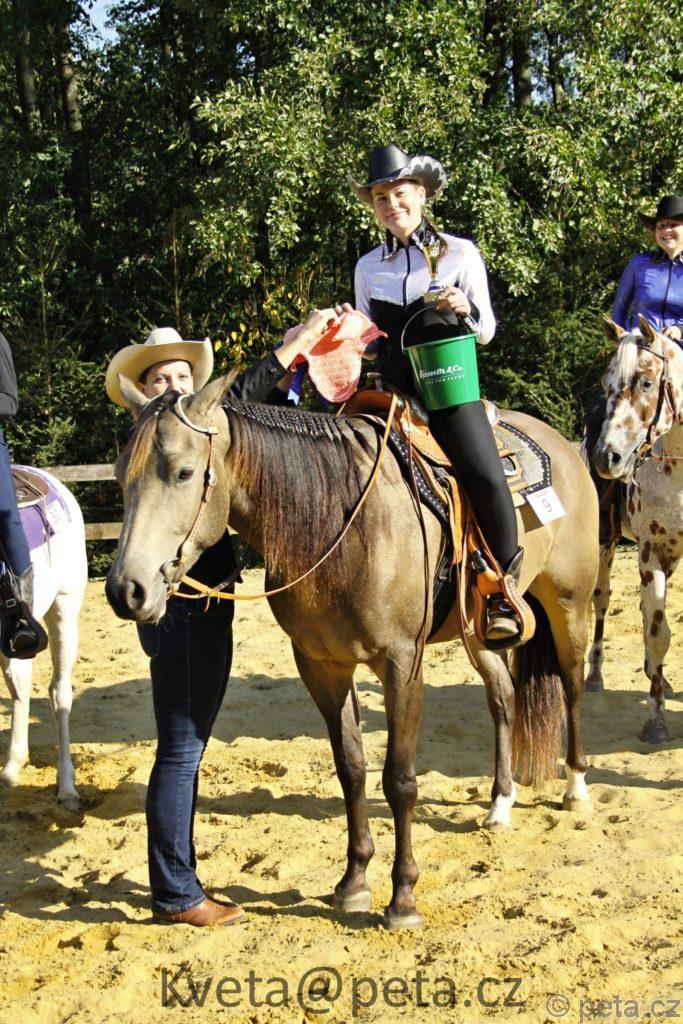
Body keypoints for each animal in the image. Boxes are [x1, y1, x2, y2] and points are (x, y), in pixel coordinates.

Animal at [106, 374, 598, 929]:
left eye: (184, 472)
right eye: (121, 476)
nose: (126, 590)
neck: (343, 526)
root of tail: (562, 445)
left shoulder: (402, 664)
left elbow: (400, 780)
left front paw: (403, 897)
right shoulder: (322, 666)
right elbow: (352, 768)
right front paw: (354, 882)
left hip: (570, 605)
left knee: (573, 687)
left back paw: (576, 788)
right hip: (479, 632)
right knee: (503, 698)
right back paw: (500, 804)